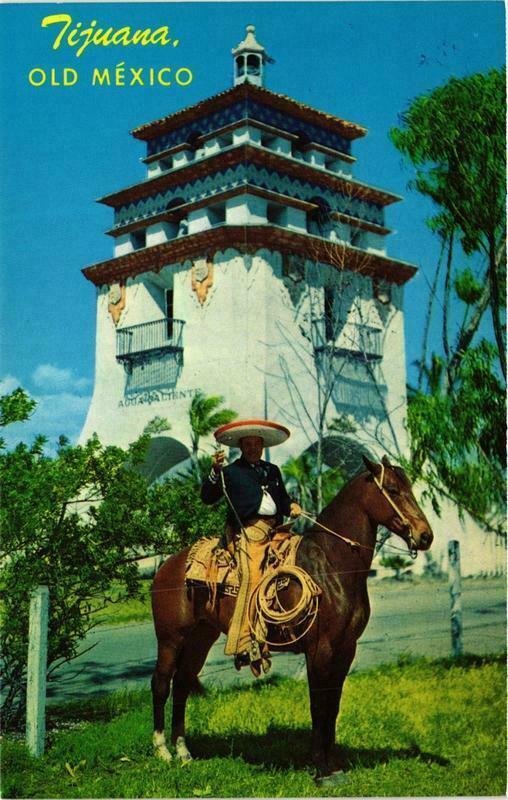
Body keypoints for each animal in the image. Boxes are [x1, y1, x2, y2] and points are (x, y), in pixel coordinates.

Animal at [150, 456, 432, 780]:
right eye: (393, 490)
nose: (425, 536)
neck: (331, 565)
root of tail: (166, 567)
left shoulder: (346, 649)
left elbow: (333, 704)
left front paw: (334, 763)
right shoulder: (319, 649)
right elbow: (318, 705)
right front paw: (321, 768)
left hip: (200, 637)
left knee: (182, 683)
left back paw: (184, 752)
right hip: (171, 639)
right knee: (161, 683)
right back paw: (163, 751)